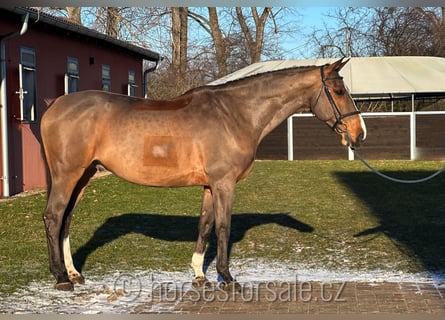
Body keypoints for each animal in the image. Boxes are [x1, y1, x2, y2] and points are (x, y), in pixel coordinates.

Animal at [40, 57, 364, 290]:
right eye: (338, 91)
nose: (359, 133)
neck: (234, 114)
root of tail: (55, 105)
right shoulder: (224, 184)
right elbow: (223, 227)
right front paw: (227, 277)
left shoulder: (210, 186)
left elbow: (205, 226)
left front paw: (199, 275)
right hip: (68, 175)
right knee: (54, 216)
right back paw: (61, 278)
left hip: (84, 176)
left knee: (66, 219)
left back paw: (74, 274)